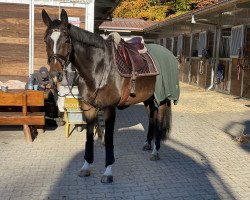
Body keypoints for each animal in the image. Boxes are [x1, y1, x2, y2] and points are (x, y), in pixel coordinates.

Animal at [41, 8, 180, 183]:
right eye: (46, 40)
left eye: (66, 40)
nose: (55, 74)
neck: (99, 68)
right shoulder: (89, 108)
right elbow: (89, 138)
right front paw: (86, 167)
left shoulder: (109, 109)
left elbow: (108, 140)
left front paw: (108, 172)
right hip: (149, 98)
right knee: (151, 119)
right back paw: (147, 144)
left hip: (161, 100)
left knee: (159, 121)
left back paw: (155, 151)